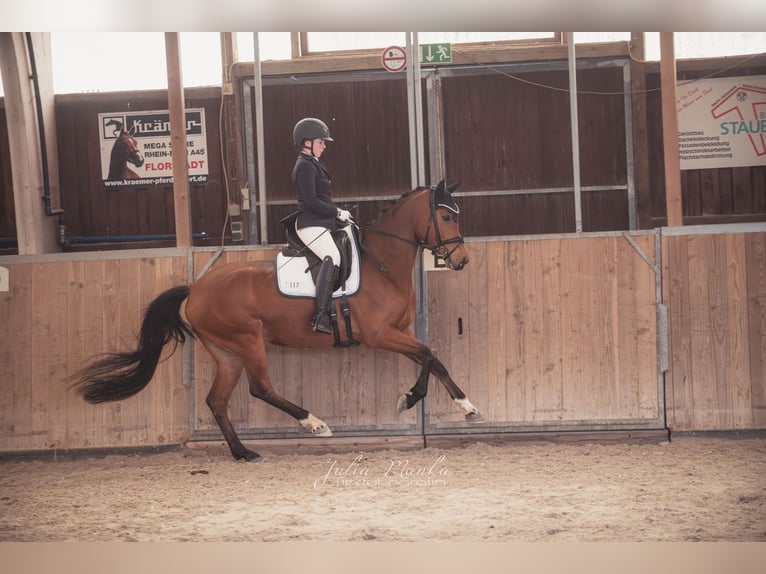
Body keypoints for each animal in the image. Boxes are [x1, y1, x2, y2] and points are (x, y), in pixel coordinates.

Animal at [69, 180, 484, 464]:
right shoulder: (380, 334)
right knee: (260, 388)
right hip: (248, 341)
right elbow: (428, 354)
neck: (381, 265)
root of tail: (195, 289)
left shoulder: (399, 332)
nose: (461, 260)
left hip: (227, 353)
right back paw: (314, 423)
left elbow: (431, 358)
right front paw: (415, 399)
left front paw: (462, 406)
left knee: (217, 400)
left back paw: (243, 453)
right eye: (446, 216)